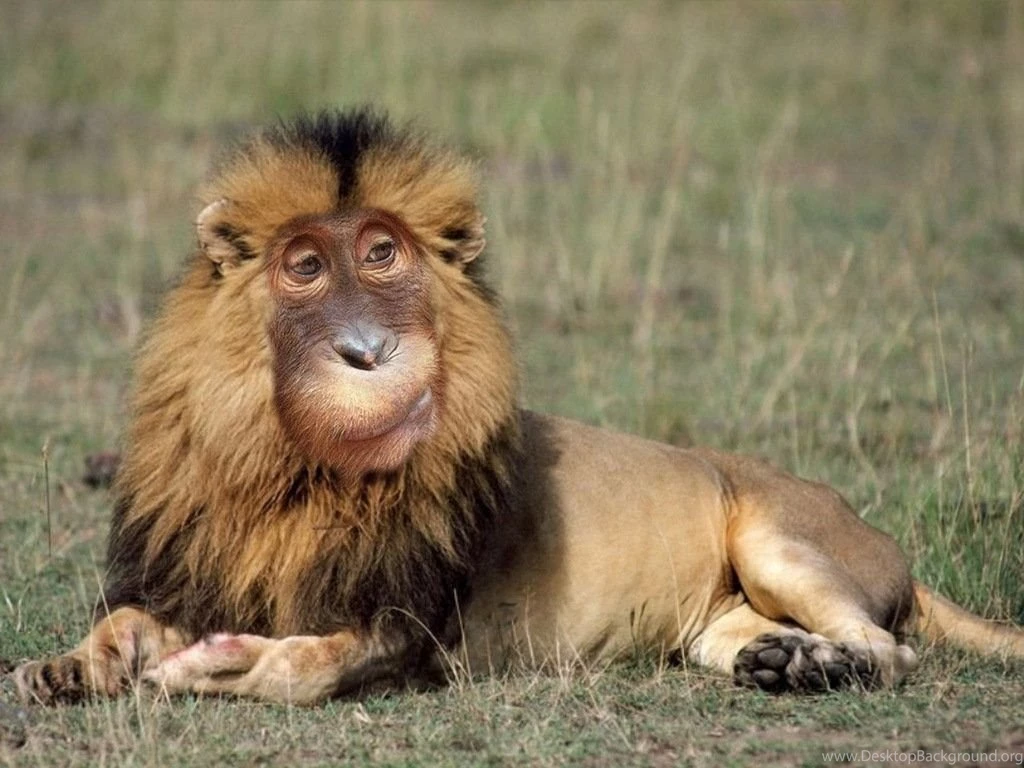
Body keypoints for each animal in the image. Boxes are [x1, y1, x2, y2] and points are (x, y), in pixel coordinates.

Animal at [13, 108, 1024, 705]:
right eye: (305, 267)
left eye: (382, 255)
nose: (367, 355)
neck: (291, 472)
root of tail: (876, 534)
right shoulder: (192, 572)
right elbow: (119, 625)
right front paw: (59, 668)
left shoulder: (407, 629)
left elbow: (299, 665)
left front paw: (213, 665)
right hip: (716, 619)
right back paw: (779, 663)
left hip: (780, 538)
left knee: (894, 649)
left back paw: (825, 667)